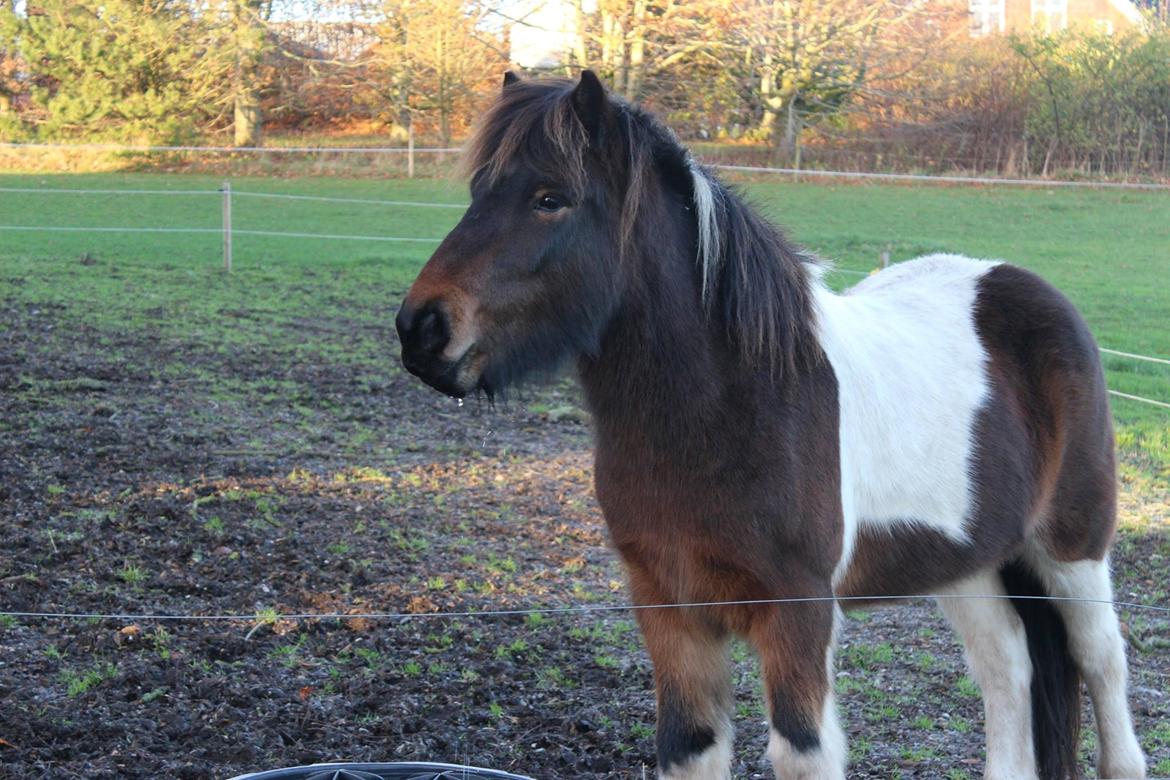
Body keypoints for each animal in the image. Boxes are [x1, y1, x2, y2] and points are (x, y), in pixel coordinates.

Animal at [393, 70, 1141, 776]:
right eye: (478, 191)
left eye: (551, 198)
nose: (422, 329)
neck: (728, 410)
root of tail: (1031, 291)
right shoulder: (669, 608)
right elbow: (687, 746)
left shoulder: (799, 611)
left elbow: (803, 751)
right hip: (967, 561)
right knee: (1007, 669)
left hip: (1073, 550)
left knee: (1104, 669)